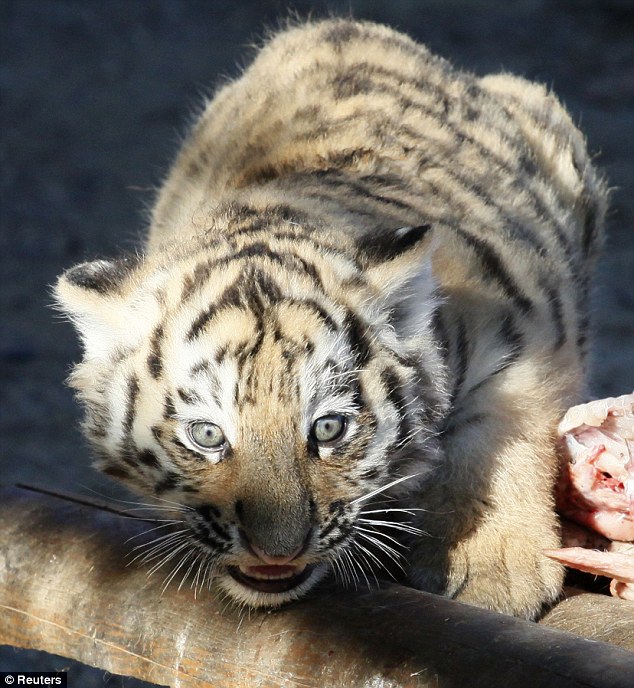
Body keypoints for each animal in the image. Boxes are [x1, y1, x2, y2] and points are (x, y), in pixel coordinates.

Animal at [54, 18, 607, 619]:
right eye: (206, 435)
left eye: (328, 428)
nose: (276, 551)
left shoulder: (529, 333)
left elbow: (497, 437)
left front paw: (493, 569)